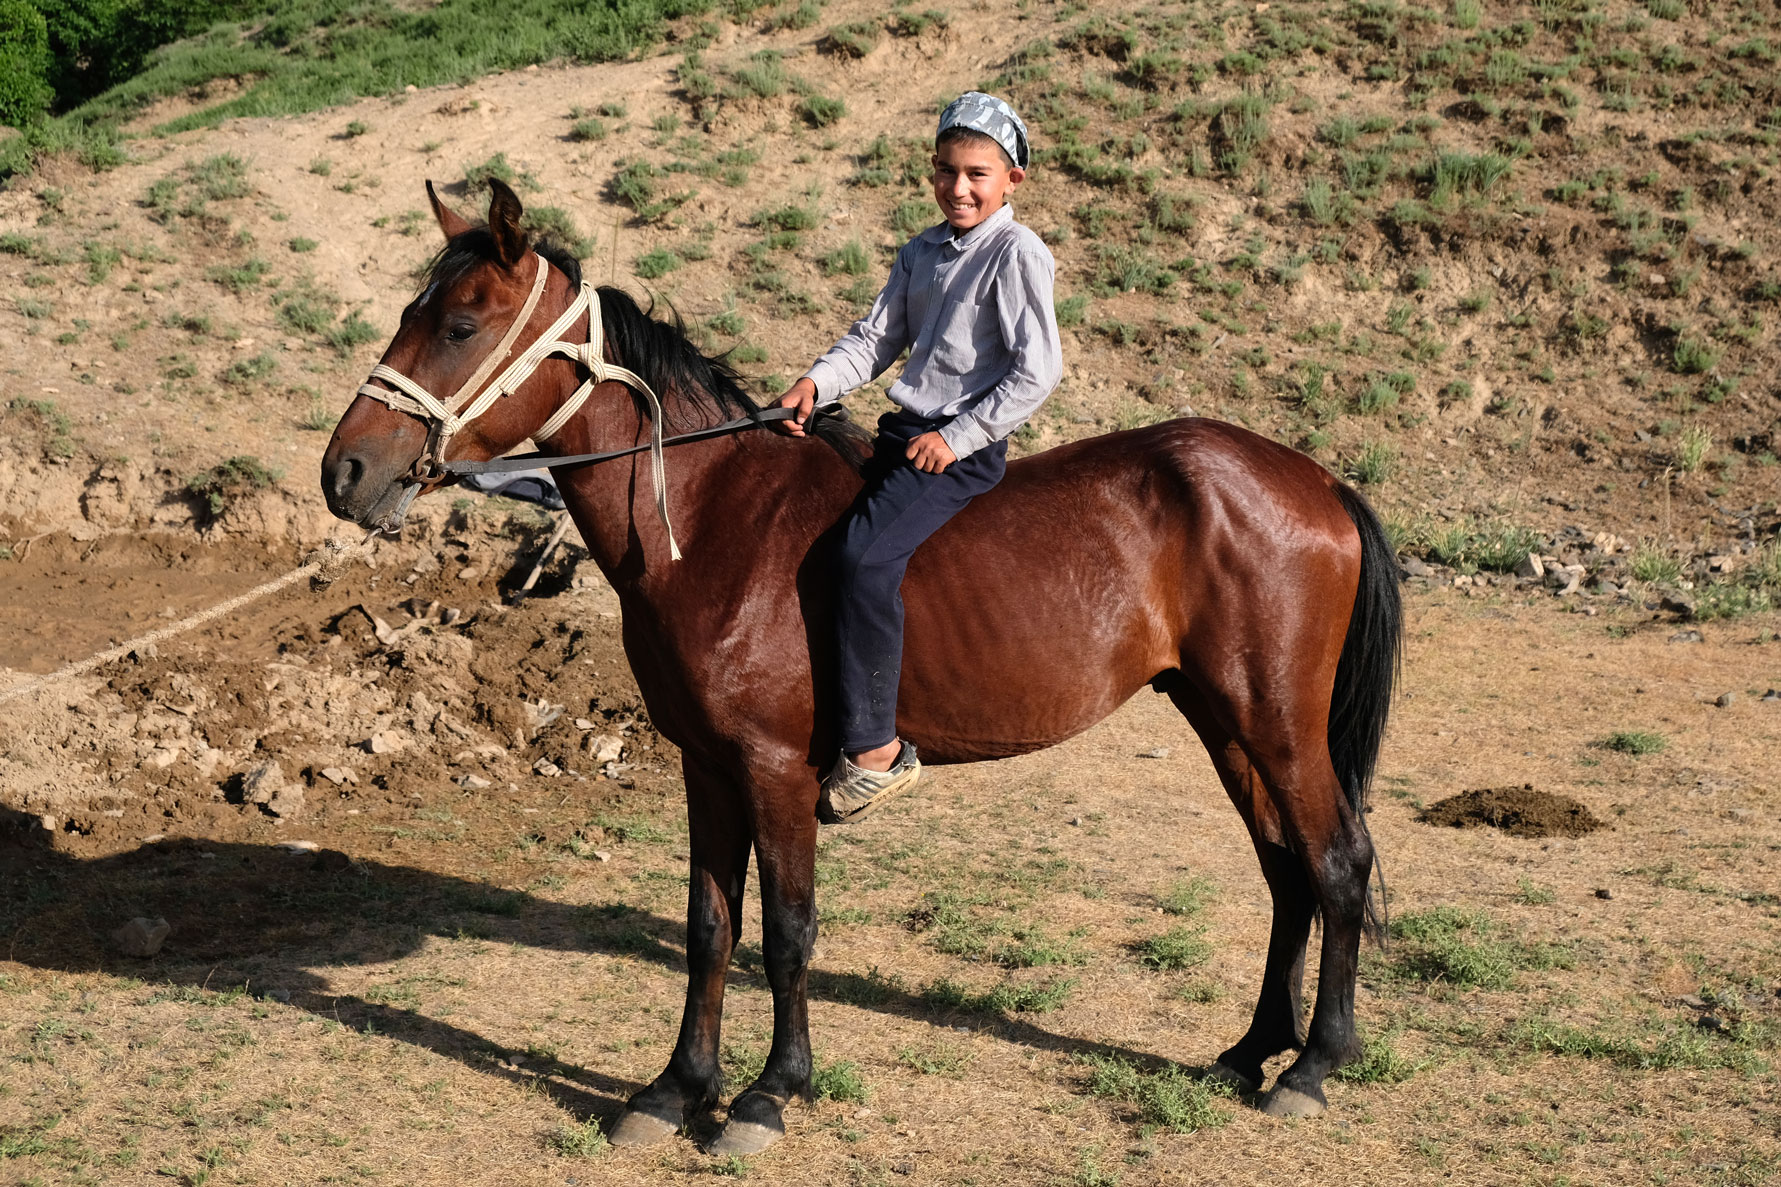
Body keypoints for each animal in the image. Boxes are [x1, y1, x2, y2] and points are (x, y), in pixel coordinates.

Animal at [324, 180, 1403, 1147]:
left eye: (461, 325)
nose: (345, 471)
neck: (713, 521)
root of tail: (1314, 480)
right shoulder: (705, 766)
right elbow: (710, 926)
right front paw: (676, 1088)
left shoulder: (773, 770)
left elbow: (787, 929)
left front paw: (767, 1093)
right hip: (1224, 720)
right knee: (1286, 870)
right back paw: (1252, 1048)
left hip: (1274, 724)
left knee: (1336, 861)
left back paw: (1312, 1063)